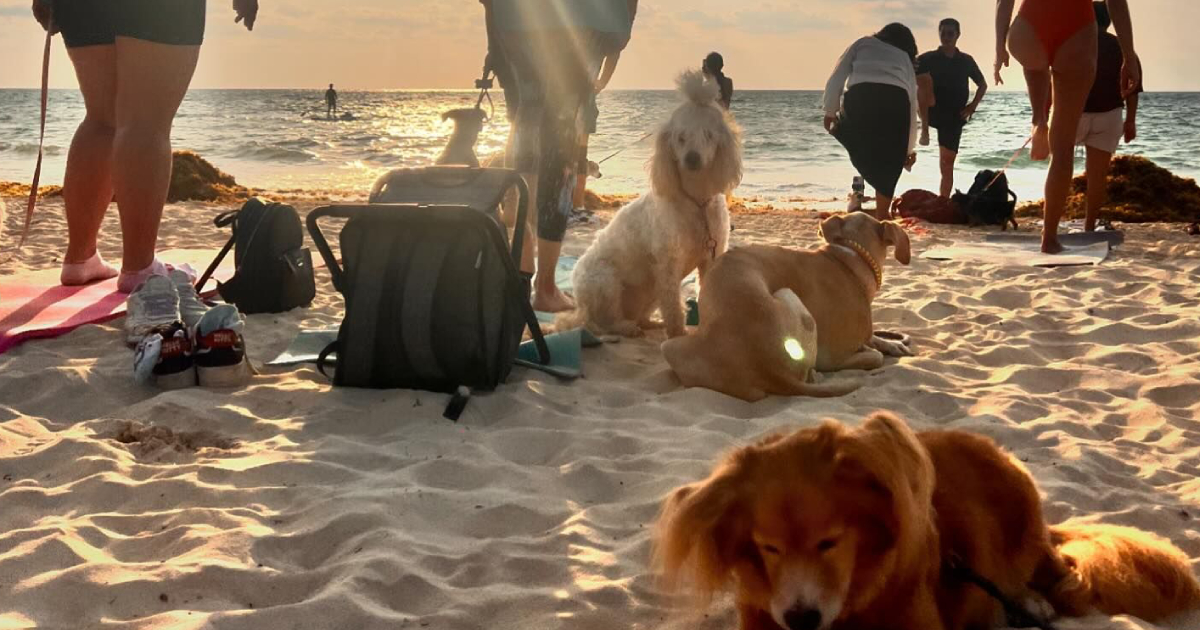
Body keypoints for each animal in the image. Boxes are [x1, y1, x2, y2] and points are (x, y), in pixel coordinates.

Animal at [559, 68, 739, 338]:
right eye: (680, 137)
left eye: (708, 135)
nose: (692, 159)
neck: (696, 200)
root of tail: (579, 306)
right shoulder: (667, 265)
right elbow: (673, 307)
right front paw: (677, 335)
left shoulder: (710, 259)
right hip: (605, 282)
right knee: (604, 322)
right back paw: (625, 327)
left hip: (649, 291)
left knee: (637, 314)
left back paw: (649, 323)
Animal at [667, 211, 907, 398]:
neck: (851, 258)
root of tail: (772, 369)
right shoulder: (832, 357)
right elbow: (873, 356)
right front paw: (871, 348)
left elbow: (875, 338)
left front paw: (891, 343)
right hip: (787, 295)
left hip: (672, 348)